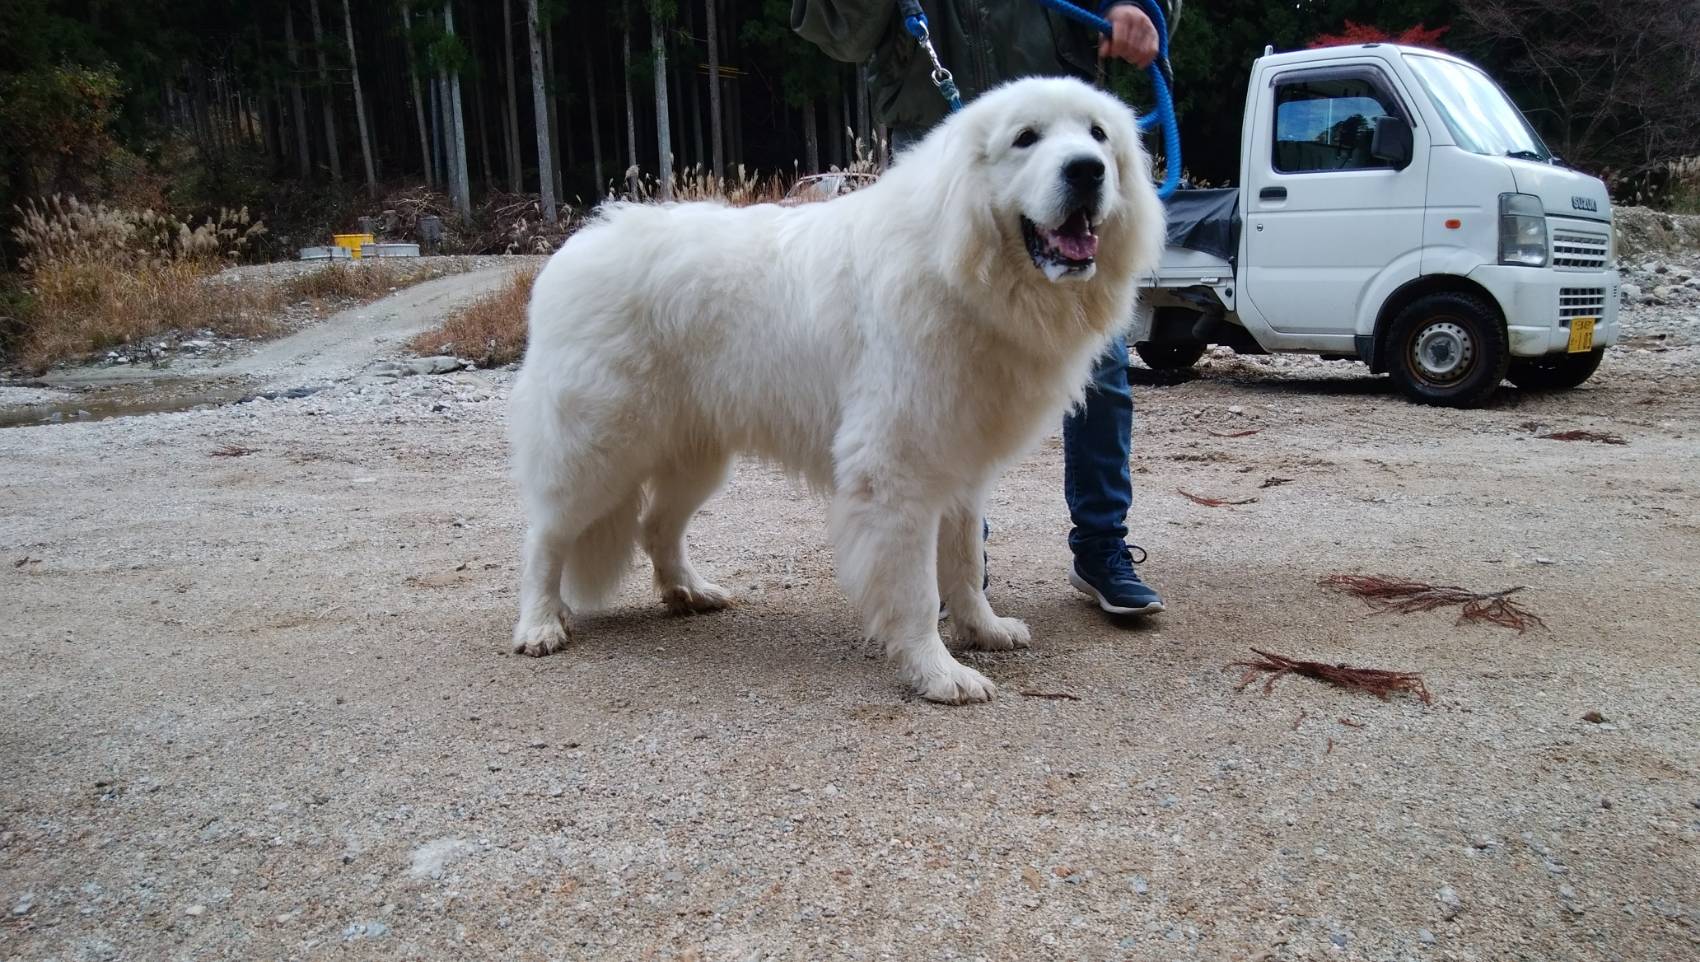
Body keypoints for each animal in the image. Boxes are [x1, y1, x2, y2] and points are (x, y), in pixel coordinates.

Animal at [510, 75, 1162, 703]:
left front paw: (983, 629)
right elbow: (917, 591)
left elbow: (963, 562)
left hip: (695, 456)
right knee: (547, 536)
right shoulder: (898, 470)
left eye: (1098, 135)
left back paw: (689, 592)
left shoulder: (960, 467)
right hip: (596, 450)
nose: (1087, 169)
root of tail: (578, 244)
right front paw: (937, 673)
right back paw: (540, 625)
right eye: (1026, 138)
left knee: (656, 527)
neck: (959, 268)